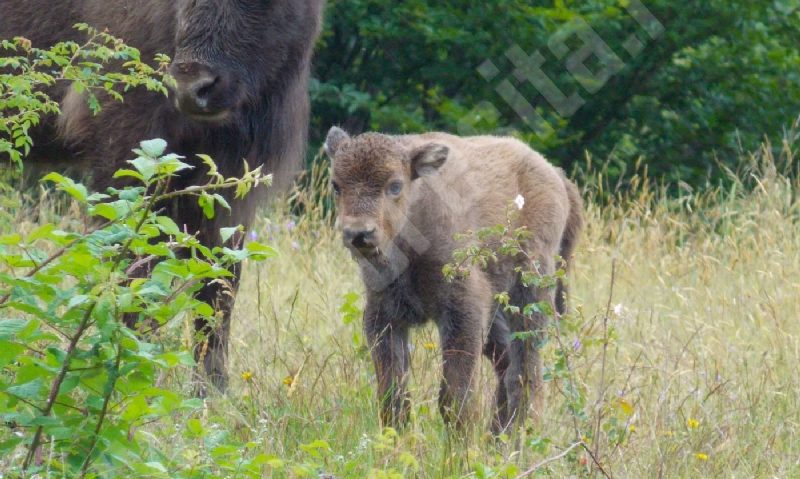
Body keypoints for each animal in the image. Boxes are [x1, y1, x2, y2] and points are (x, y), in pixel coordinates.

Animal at [0, 0, 324, 394]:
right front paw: (127, 374)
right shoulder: (127, 152)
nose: (193, 87)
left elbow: (219, 283)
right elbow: (135, 267)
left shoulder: (224, 187)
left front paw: (212, 391)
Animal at [324, 126, 580, 432]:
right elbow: (393, 393)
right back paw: (497, 435)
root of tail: (555, 175)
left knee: (526, 371)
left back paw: (519, 433)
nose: (359, 233)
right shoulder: (384, 315)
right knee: (507, 365)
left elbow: (455, 395)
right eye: (336, 185)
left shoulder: (463, 309)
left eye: (395, 185)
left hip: (530, 293)